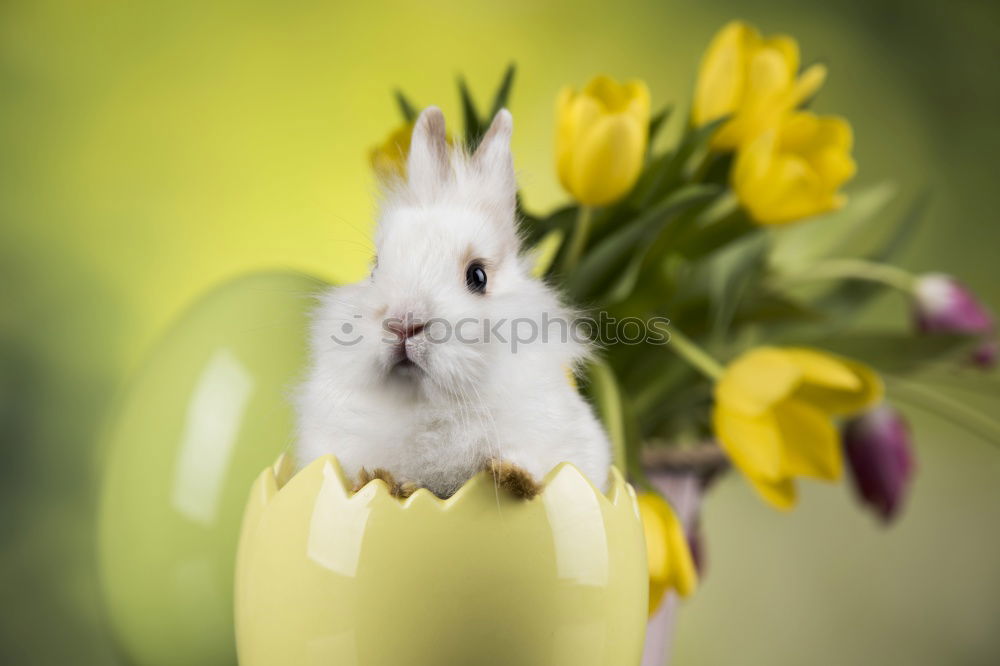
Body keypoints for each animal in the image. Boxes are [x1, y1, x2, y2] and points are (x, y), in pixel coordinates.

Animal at [292, 106, 608, 496]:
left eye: (478, 276)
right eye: (375, 268)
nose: (403, 324)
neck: (427, 406)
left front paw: (513, 476)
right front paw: (380, 480)